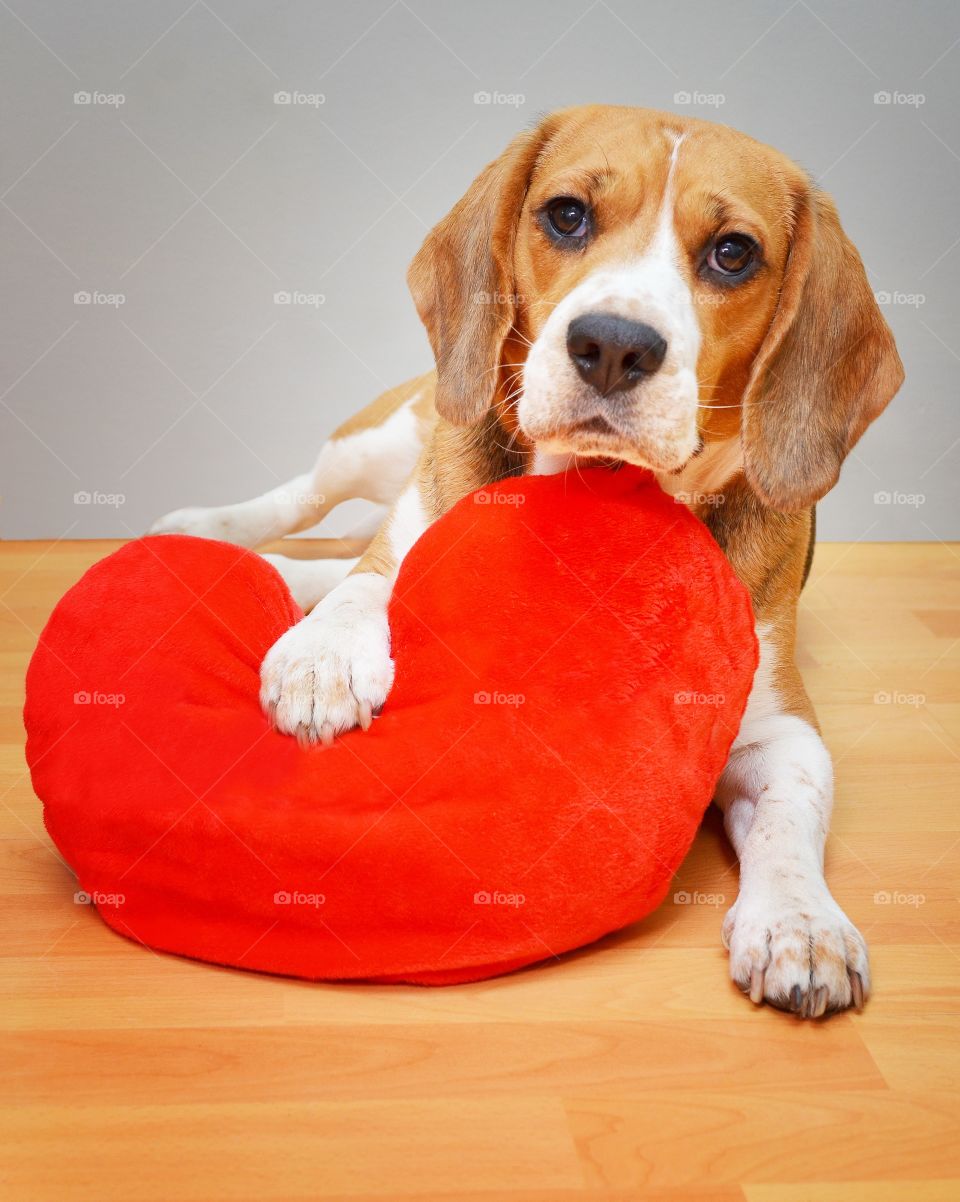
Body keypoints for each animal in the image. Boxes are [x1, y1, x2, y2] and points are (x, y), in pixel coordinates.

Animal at [153, 108, 903, 1019]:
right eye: (567, 215)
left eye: (733, 253)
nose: (613, 345)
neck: (586, 491)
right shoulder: (412, 528)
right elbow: (370, 588)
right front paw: (322, 661)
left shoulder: (781, 728)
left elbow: (793, 815)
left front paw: (801, 922)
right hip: (385, 440)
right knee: (313, 510)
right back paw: (209, 529)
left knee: (327, 556)